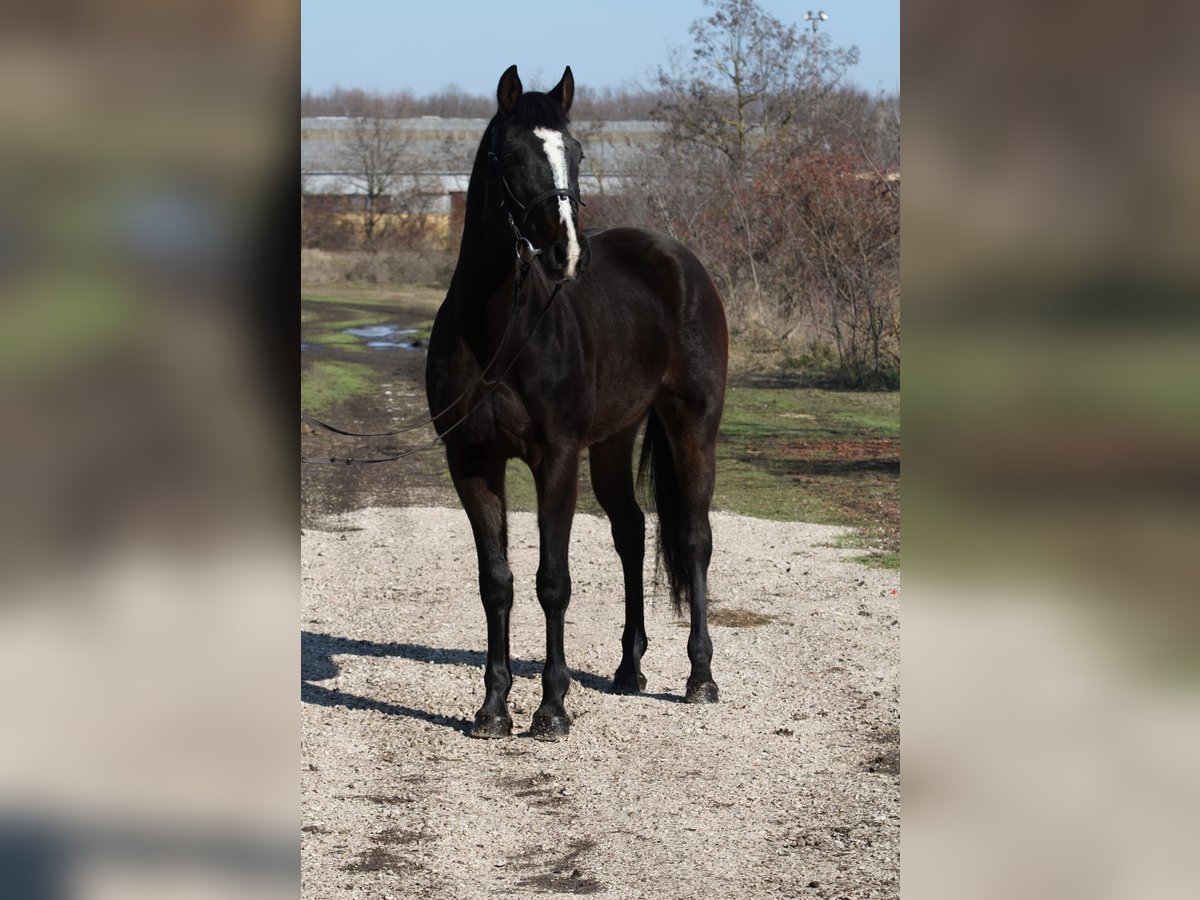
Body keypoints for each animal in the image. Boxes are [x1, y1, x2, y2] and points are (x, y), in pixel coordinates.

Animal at [427, 63, 724, 739]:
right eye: (514, 155)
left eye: (578, 151)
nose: (569, 253)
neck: (498, 333)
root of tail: (680, 261)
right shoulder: (471, 462)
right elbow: (497, 582)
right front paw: (492, 709)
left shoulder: (556, 457)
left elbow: (552, 581)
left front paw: (552, 707)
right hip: (614, 439)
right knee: (632, 532)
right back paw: (629, 669)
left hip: (694, 424)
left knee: (693, 538)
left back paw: (699, 678)